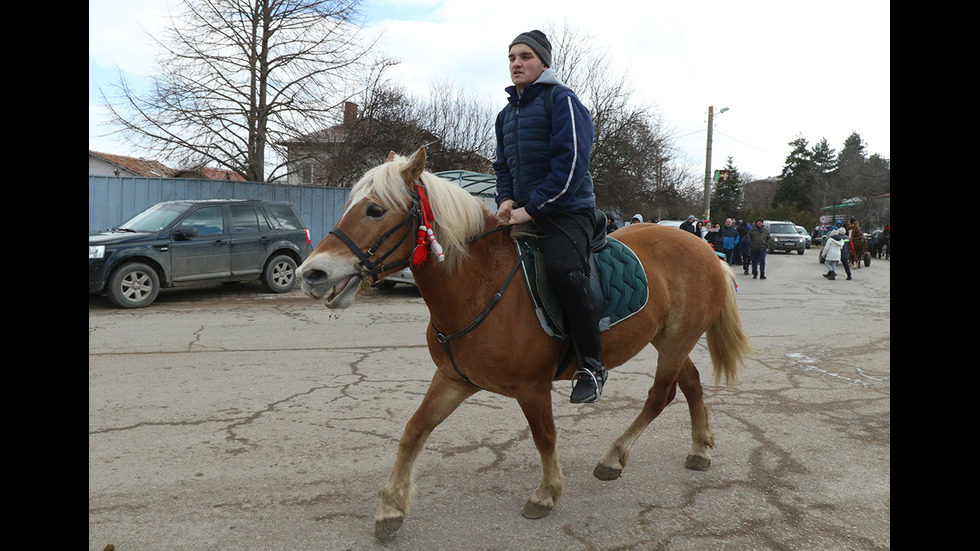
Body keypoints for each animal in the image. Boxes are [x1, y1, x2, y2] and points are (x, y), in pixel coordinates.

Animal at [296, 148, 752, 540]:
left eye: (375, 209)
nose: (311, 273)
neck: (482, 285)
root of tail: (704, 246)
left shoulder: (532, 387)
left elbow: (544, 436)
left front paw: (546, 494)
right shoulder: (453, 379)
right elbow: (414, 431)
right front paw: (391, 508)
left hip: (675, 341)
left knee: (661, 395)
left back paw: (614, 457)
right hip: (669, 340)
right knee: (690, 384)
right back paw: (700, 449)